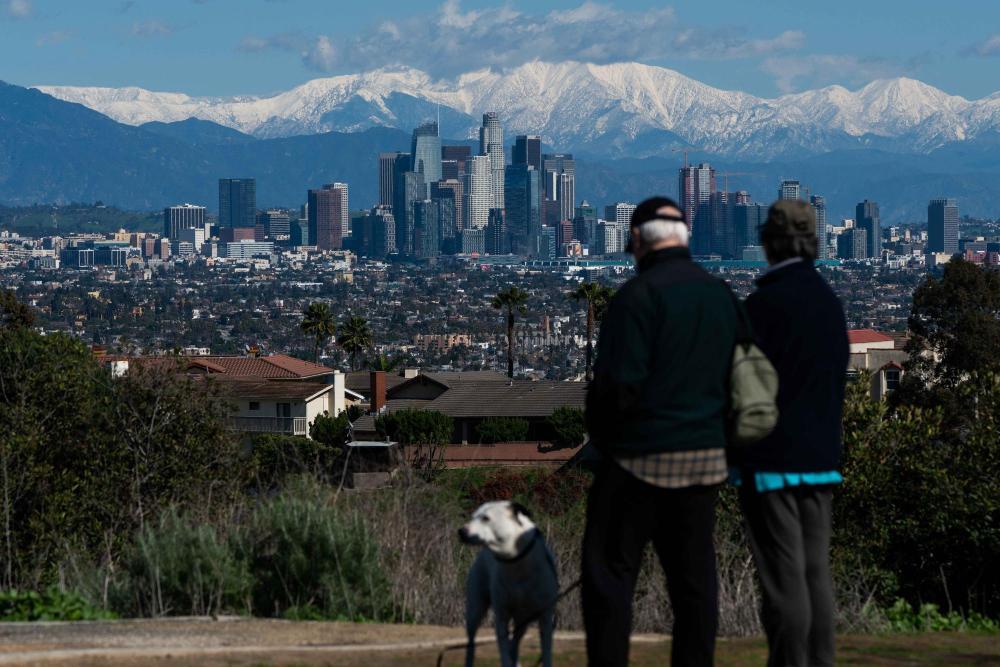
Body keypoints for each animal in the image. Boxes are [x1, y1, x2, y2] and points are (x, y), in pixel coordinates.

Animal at [458, 500, 560, 667]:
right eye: (473, 517)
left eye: (486, 518)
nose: (461, 531)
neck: (516, 562)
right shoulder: (502, 615)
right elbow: (504, 651)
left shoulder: (545, 617)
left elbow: (546, 653)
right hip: (475, 608)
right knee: (472, 641)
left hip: (523, 620)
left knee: (515, 642)